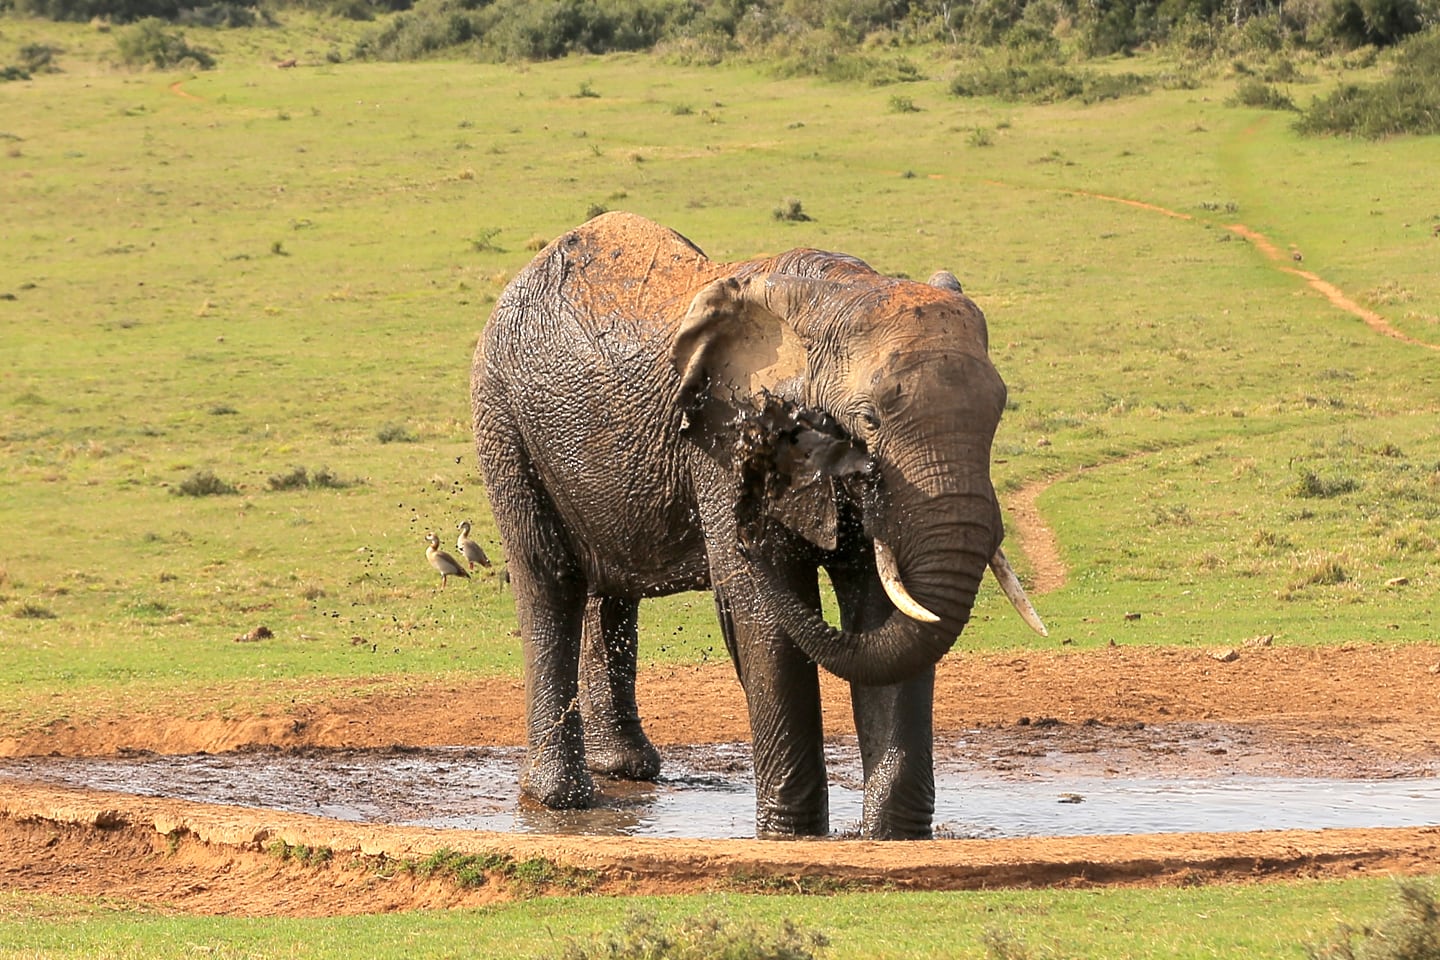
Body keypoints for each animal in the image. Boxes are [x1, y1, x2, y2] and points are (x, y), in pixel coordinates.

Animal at [472, 211, 1048, 840]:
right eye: (869, 418)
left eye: (998, 409)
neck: (839, 297)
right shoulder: (721, 438)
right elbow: (762, 616)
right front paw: (792, 835)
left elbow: (884, 612)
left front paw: (893, 837)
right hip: (502, 418)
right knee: (549, 580)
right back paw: (562, 798)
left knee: (611, 593)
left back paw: (625, 769)